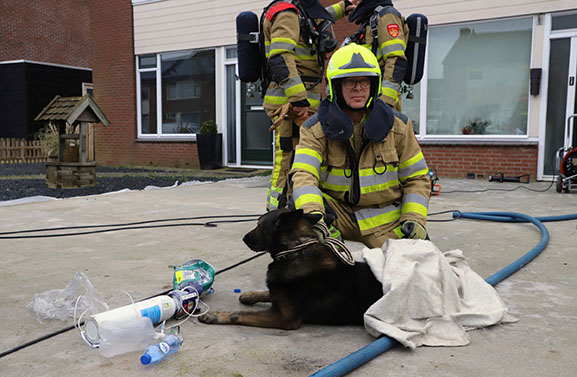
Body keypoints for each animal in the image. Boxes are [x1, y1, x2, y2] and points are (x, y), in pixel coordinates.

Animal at [198, 207, 382, 328]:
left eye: (260, 225)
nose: (244, 238)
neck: (295, 251)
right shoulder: (278, 293)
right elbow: (267, 292)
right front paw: (250, 295)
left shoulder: (283, 317)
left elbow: (239, 314)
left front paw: (216, 316)